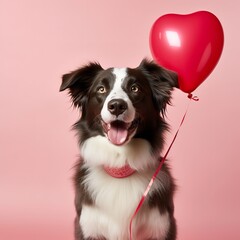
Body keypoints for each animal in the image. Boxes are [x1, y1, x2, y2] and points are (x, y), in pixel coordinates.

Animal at [60, 58, 178, 240]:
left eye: (135, 88)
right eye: (101, 89)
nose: (116, 105)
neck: (120, 163)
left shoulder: (161, 228)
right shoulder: (88, 228)